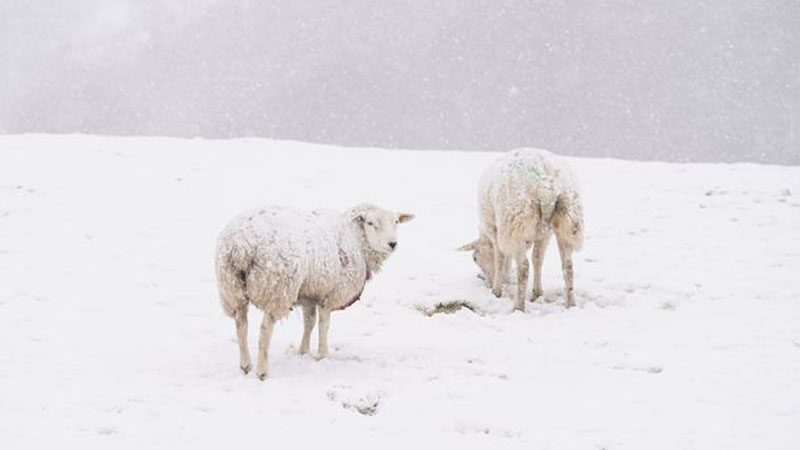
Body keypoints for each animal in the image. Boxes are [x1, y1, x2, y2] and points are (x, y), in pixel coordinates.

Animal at [214, 204, 412, 380]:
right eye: (370, 223)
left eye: (396, 222)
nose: (392, 244)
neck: (355, 239)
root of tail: (241, 244)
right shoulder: (329, 295)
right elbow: (324, 325)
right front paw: (322, 354)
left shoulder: (309, 294)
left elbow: (309, 323)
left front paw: (303, 351)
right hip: (277, 288)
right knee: (264, 329)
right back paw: (262, 371)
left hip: (231, 288)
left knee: (241, 325)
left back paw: (245, 365)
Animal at [460, 149, 584, 312]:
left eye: (475, 259)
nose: (487, 284)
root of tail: (546, 184)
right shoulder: (544, 235)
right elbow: (537, 259)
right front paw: (537, 293)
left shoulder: (495, 230)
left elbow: (500, 259)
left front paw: (496, 290)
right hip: (567, 220)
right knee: (568, 266)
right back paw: (571, 304)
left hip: (516, 224)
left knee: (524, 268)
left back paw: (518, 306)